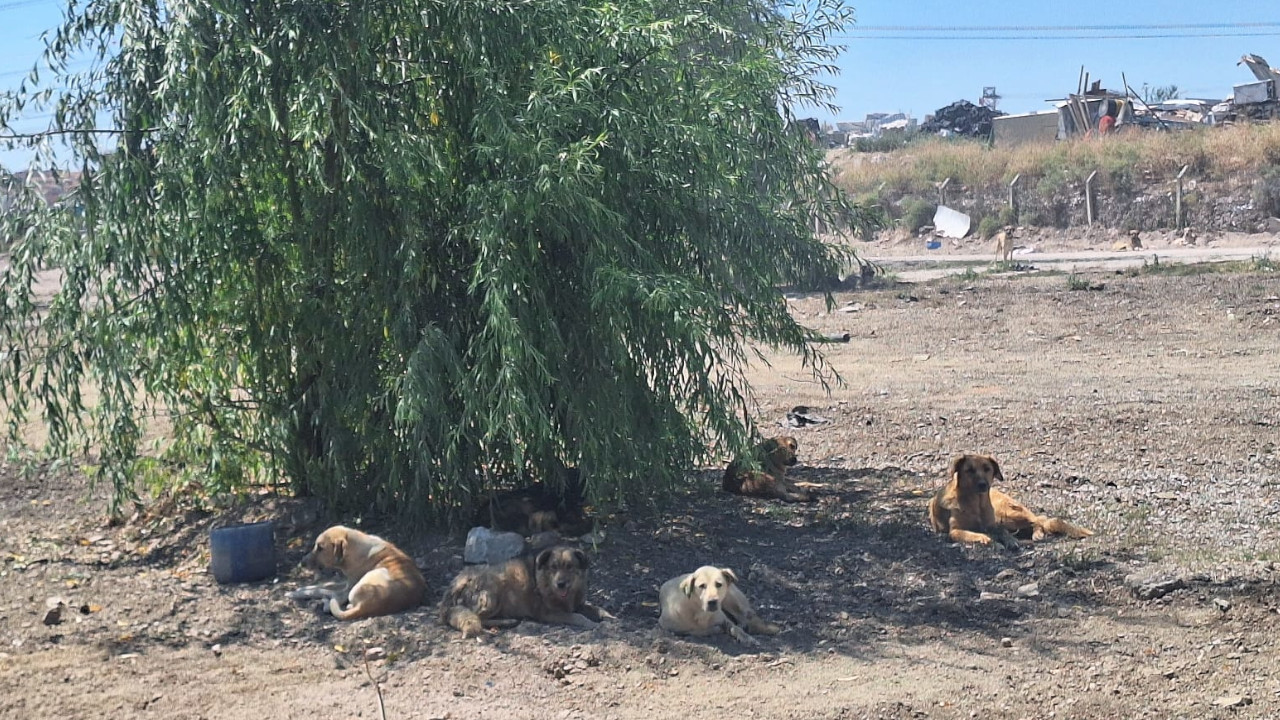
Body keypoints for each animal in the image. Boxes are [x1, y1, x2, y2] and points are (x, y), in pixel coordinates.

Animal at [288, 525, 427, 620]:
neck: (354, 549)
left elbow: (322, 589)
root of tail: (365, 606)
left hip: (372, 576)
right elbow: (325, 584)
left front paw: (295, 593)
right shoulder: (347, 581)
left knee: (333, 597)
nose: (302, 562)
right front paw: (301, 589)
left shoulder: (348, 587)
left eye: (320, 548)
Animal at [442, 540, 616, 635]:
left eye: (569, 567)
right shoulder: (549, 613)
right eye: (553, 567)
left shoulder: (579, 604)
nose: (560, 584)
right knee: (479, 617)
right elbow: (578, 616)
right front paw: (592, 624)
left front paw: (609, 617)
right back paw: (507, 621)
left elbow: (597, 608)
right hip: (493, 593)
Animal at [926, 450, 1095, 545]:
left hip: (1006, 515)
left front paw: (1010, 541)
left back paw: (1037, 534)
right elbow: (972, 533)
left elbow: (1002, 532)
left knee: (1038, 521)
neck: (976, 504)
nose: (982, 485)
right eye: (969, 470)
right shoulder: (955, 531)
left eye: (987, 469)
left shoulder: (994, 524)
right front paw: (984, 538)